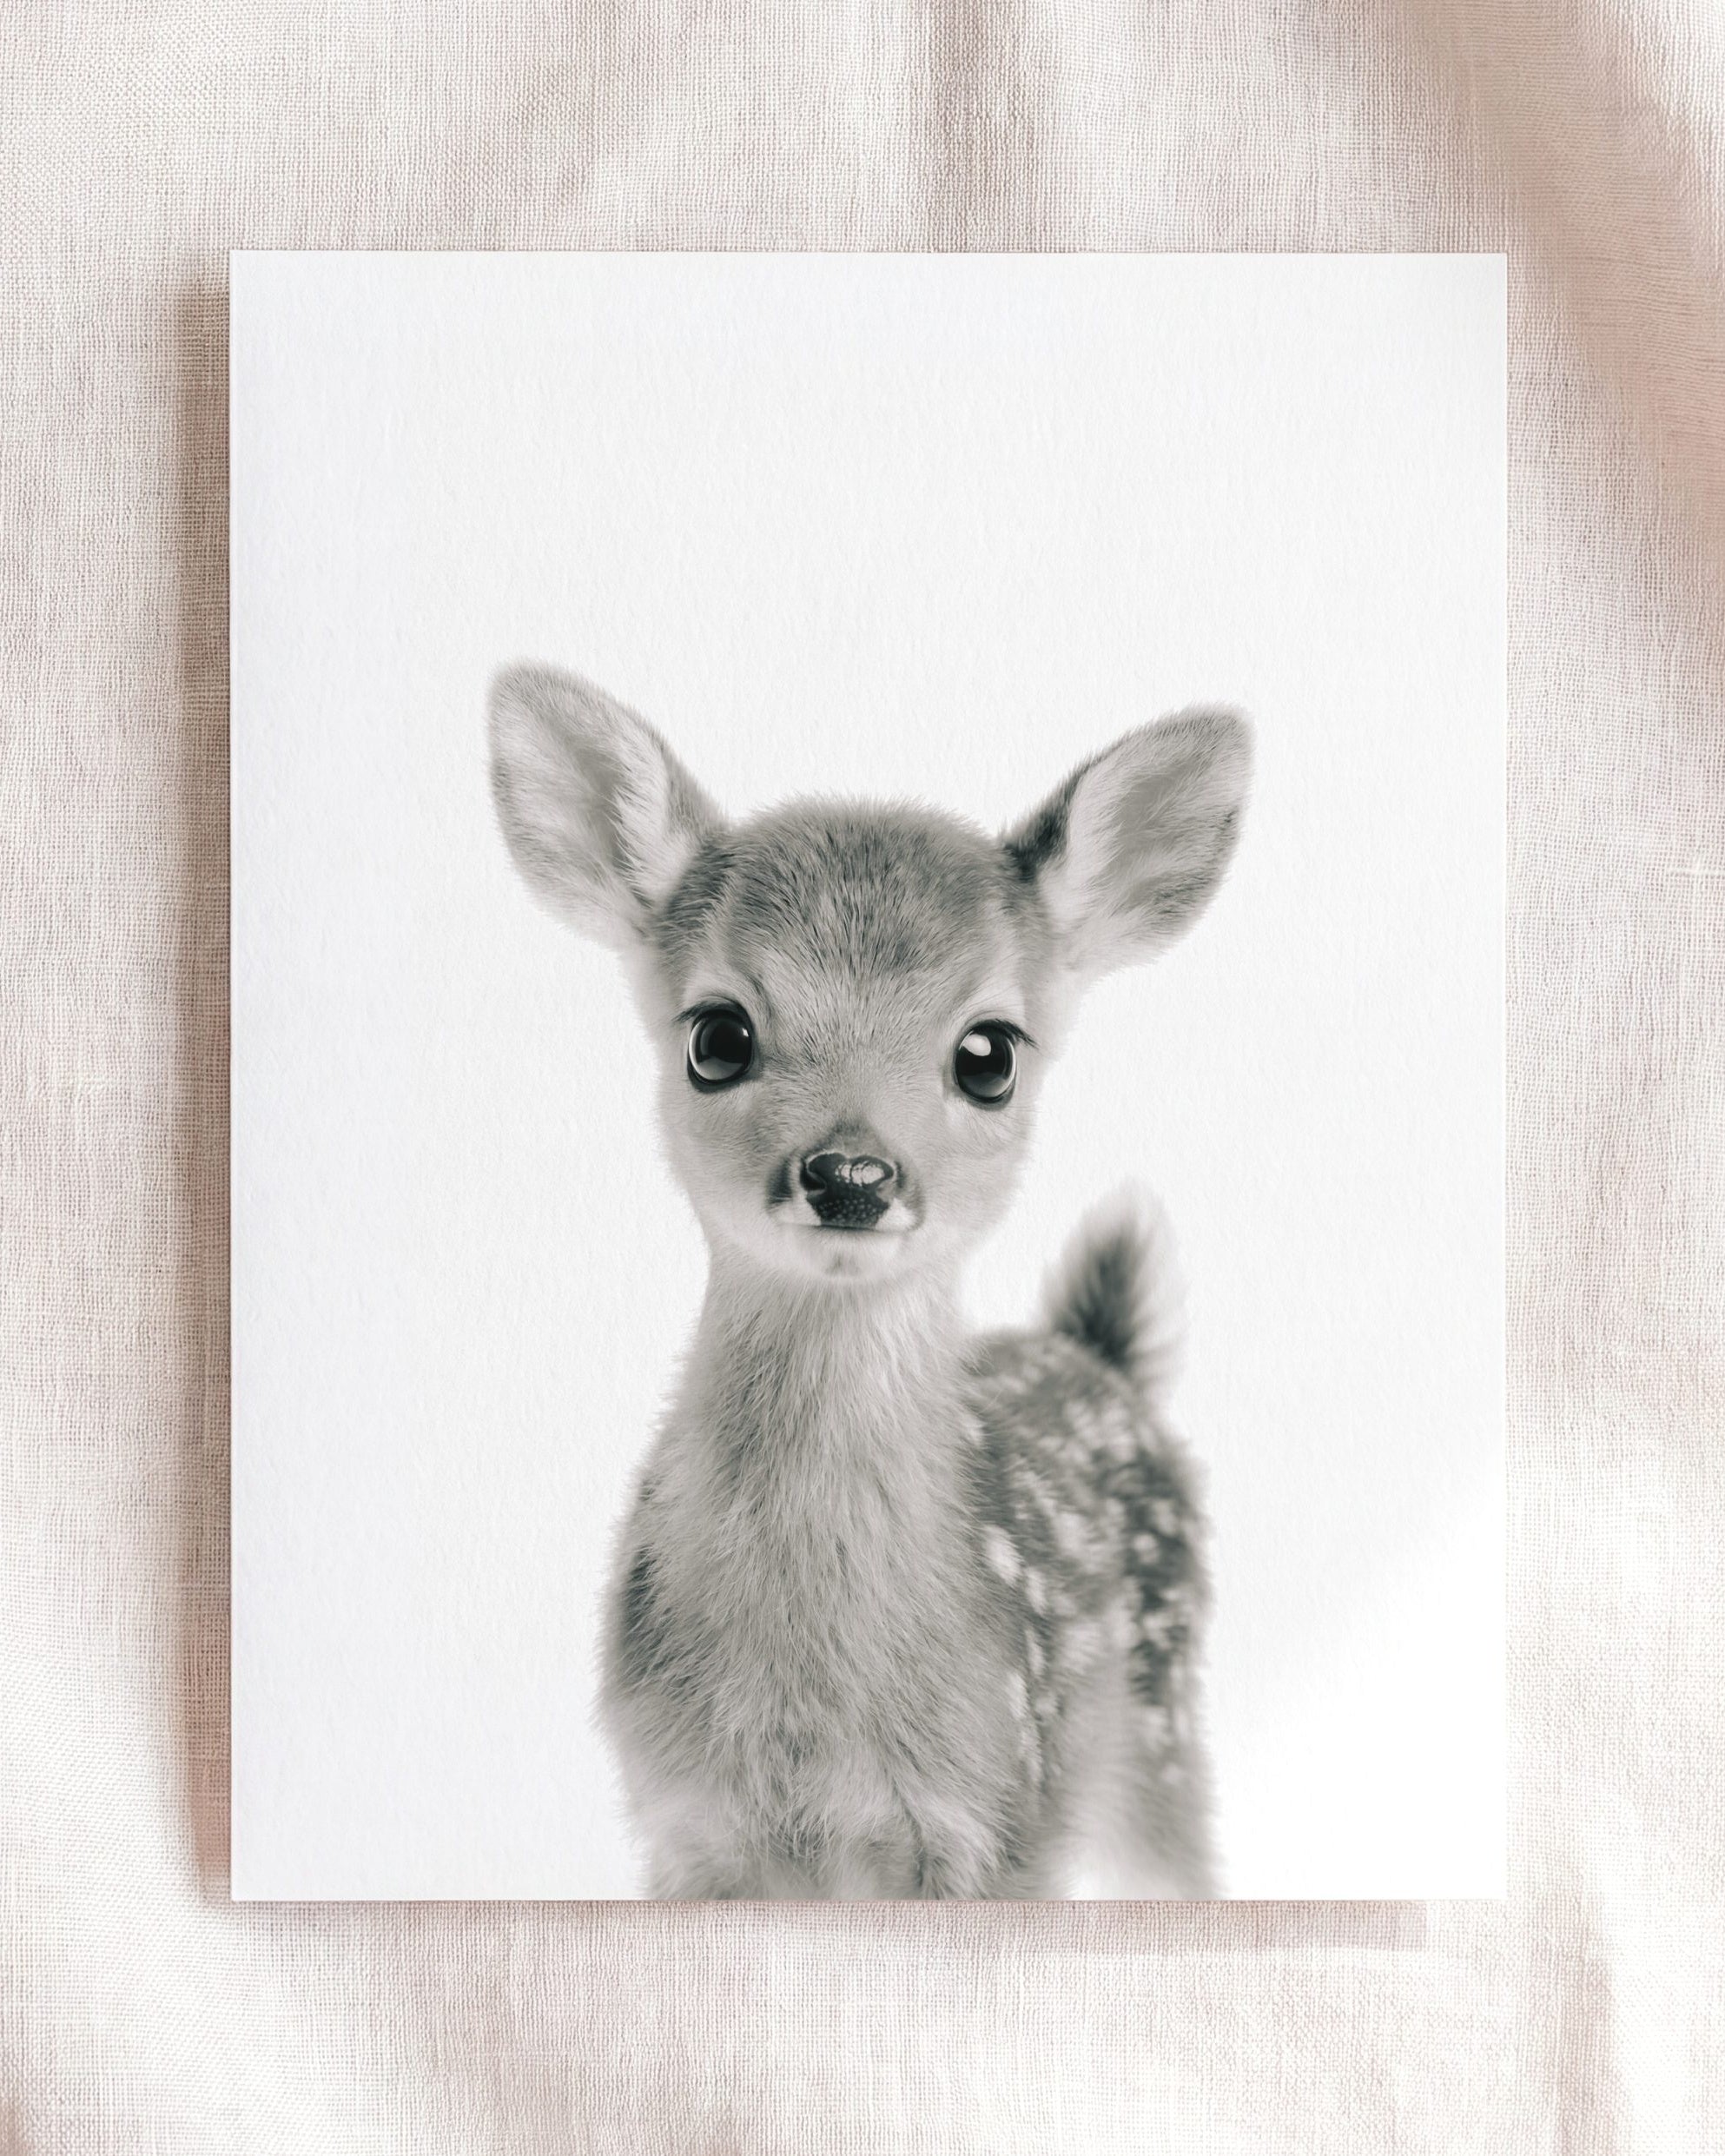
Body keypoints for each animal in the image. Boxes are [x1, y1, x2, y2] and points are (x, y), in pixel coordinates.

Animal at [489, 663, 1250, 1898]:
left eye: (990, 1053)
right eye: (717, 1036)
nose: (850, 1174)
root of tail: (1099, 1354)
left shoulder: (999, 1815)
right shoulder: (684, 1825)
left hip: (1159, 1737)